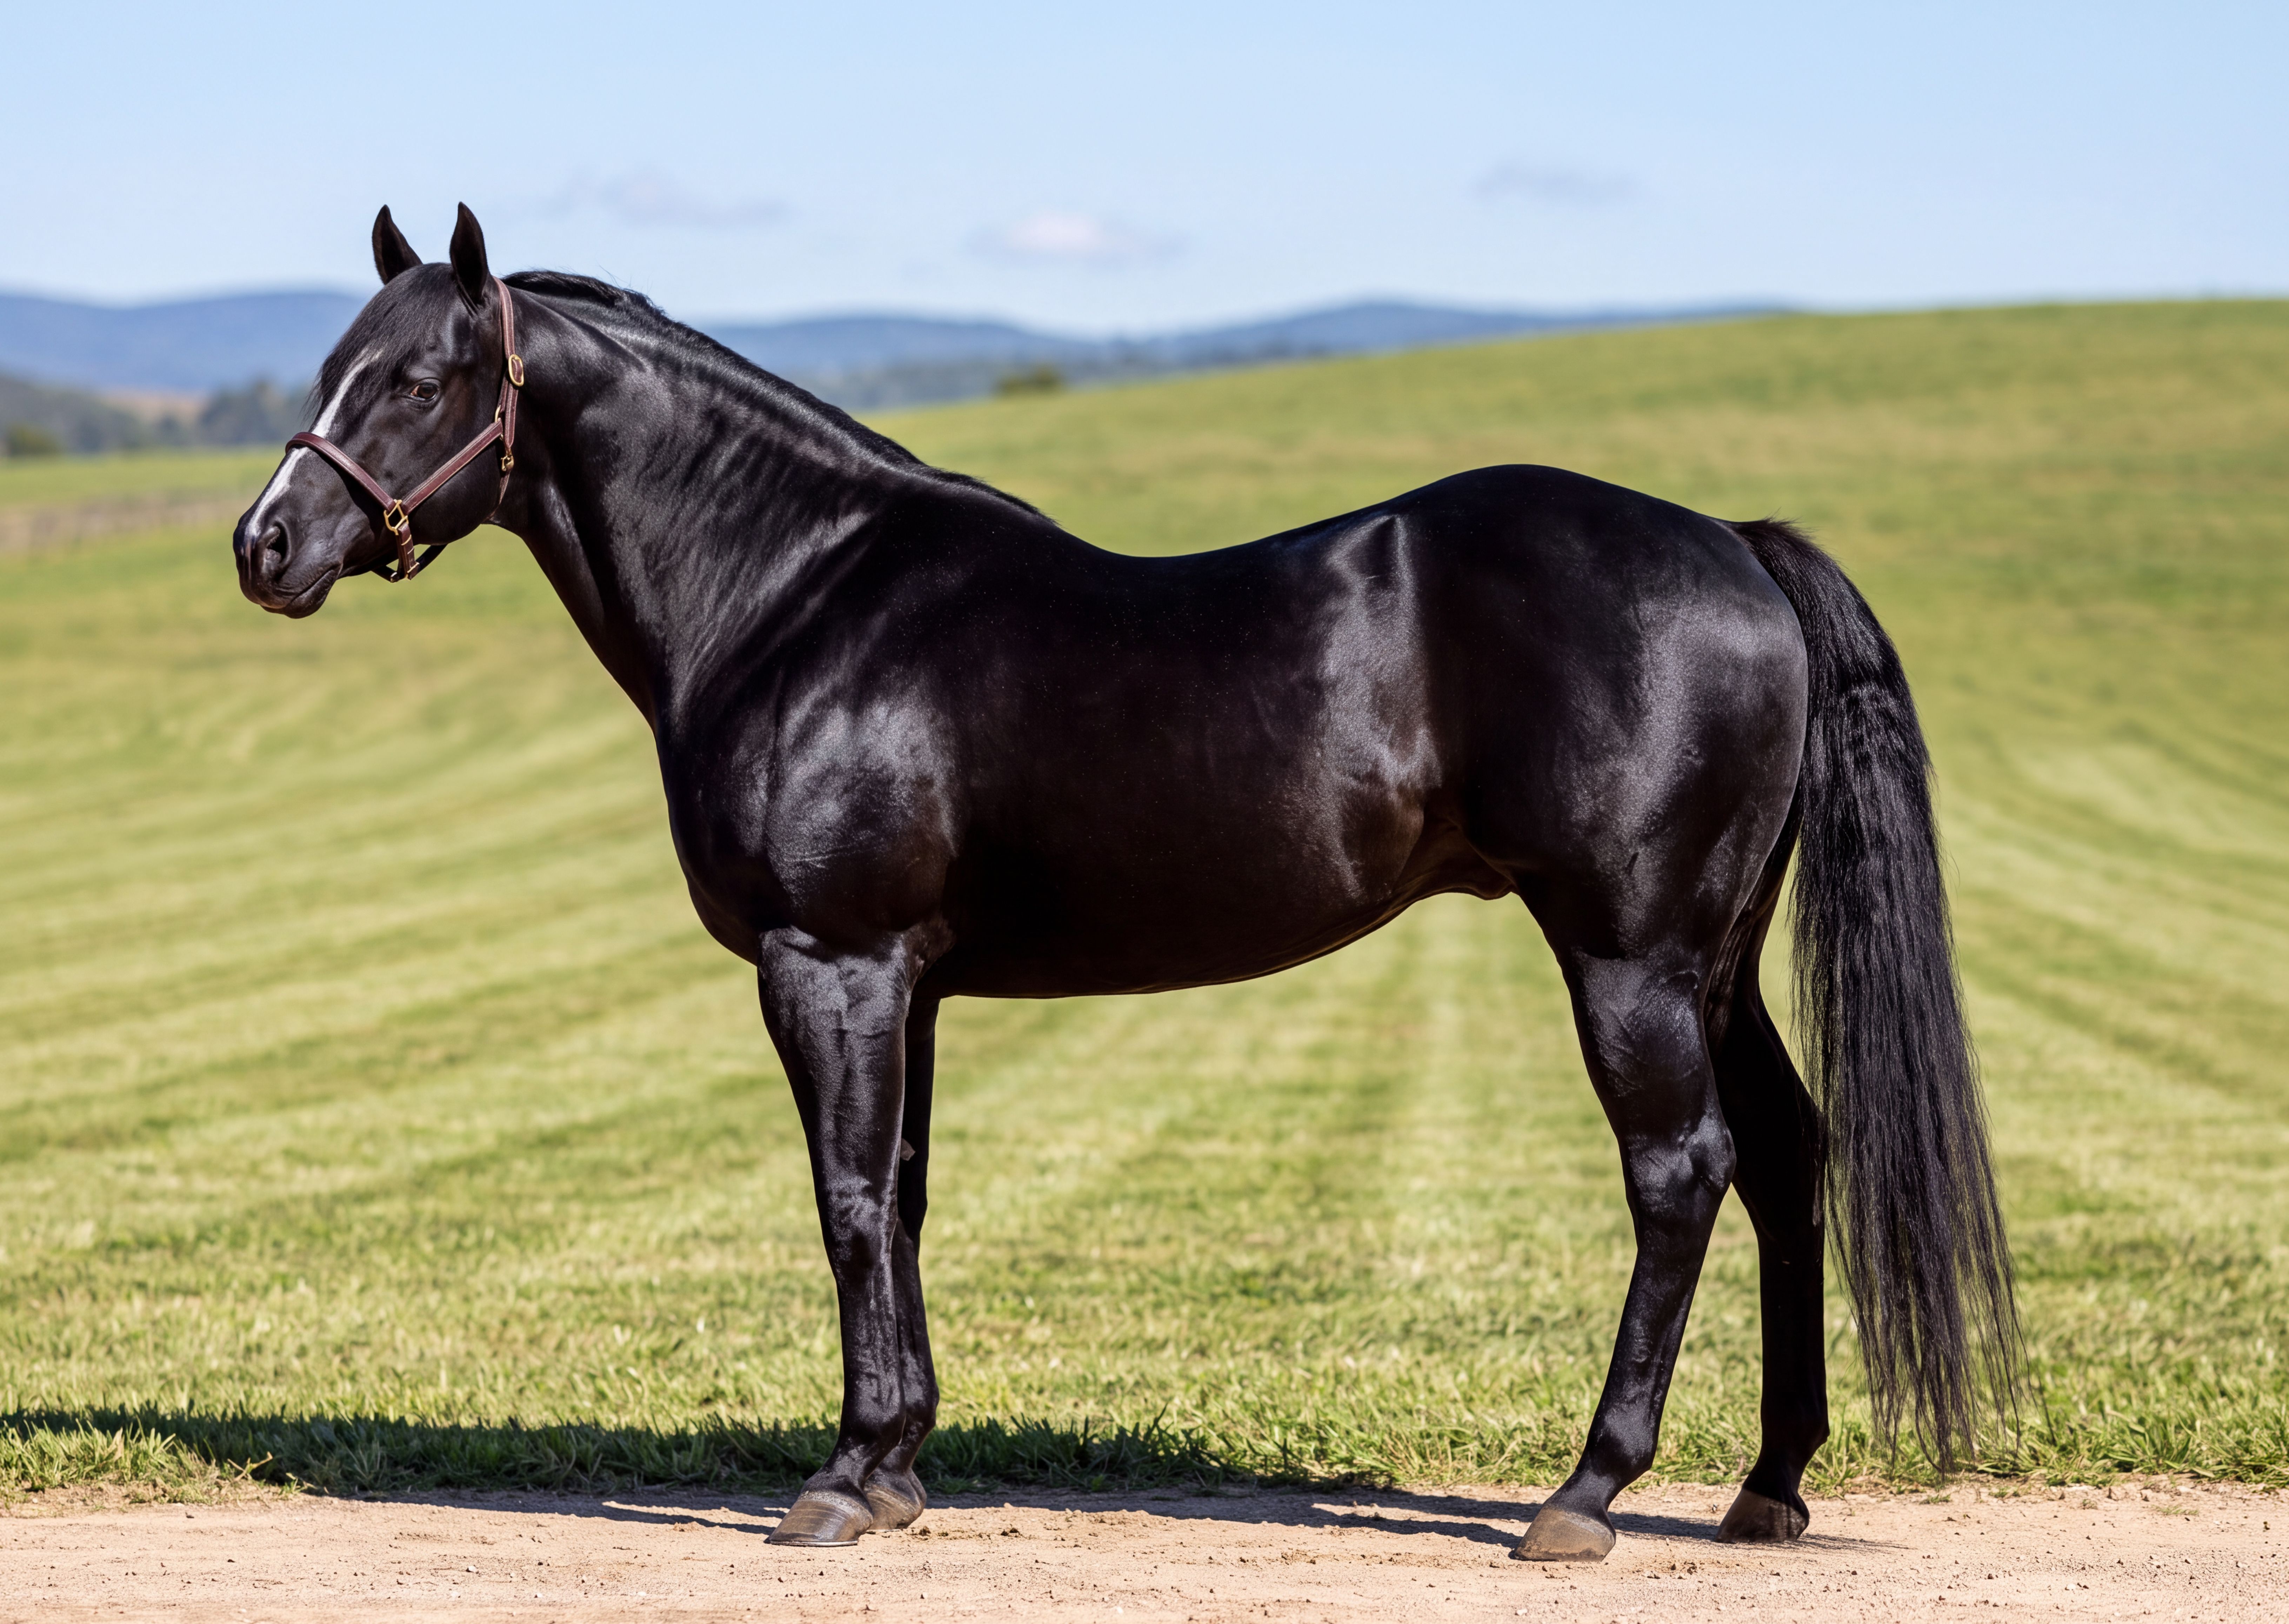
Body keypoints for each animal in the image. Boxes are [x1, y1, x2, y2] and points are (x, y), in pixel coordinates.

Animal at [233, 205, 2018, 1559]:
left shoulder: (829, 961)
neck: (798, 593)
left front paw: (840, 1479)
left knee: (1680, 1170)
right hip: (1716, 957)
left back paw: (1585, 1492)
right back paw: (1765, 1488)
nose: (266, 545)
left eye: (424, 375)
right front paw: (900, 1463)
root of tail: (1732, 545)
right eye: (330, 365)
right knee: (1785, 1155)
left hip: (1632, 956)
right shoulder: (908, 978)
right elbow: (905, 1196)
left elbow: (845, 1199)